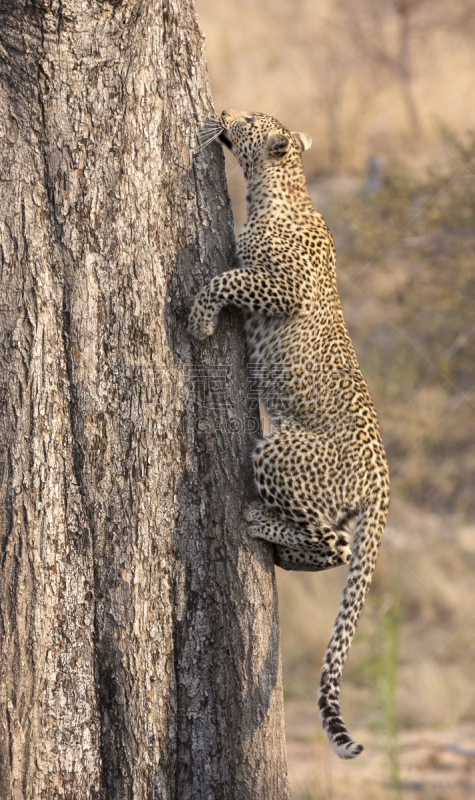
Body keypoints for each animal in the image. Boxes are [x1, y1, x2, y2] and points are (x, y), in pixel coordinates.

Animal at [187, 109, 390, 760]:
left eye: (252, 121)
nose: (226, 113)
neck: (281, 188)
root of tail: (382, 482)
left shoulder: (280, 286)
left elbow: (224, 281)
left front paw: (198, 321)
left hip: (281, 450)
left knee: (336, 543)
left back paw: (259, 522)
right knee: (329, 547)